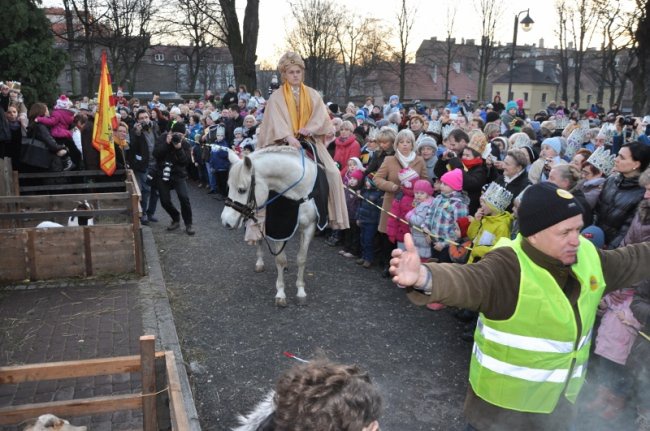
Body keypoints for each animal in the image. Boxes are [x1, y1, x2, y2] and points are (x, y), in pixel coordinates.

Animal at [219, 148, 318, 308]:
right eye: (229, 187)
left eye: (241, 190)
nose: (226, 221)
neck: (299, 193)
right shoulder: (279, 228)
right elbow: (280, 260)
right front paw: (281, 293)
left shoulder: (308, 227)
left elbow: (301, 259)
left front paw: (301, 291)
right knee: (259, 240)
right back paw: (260, 263)